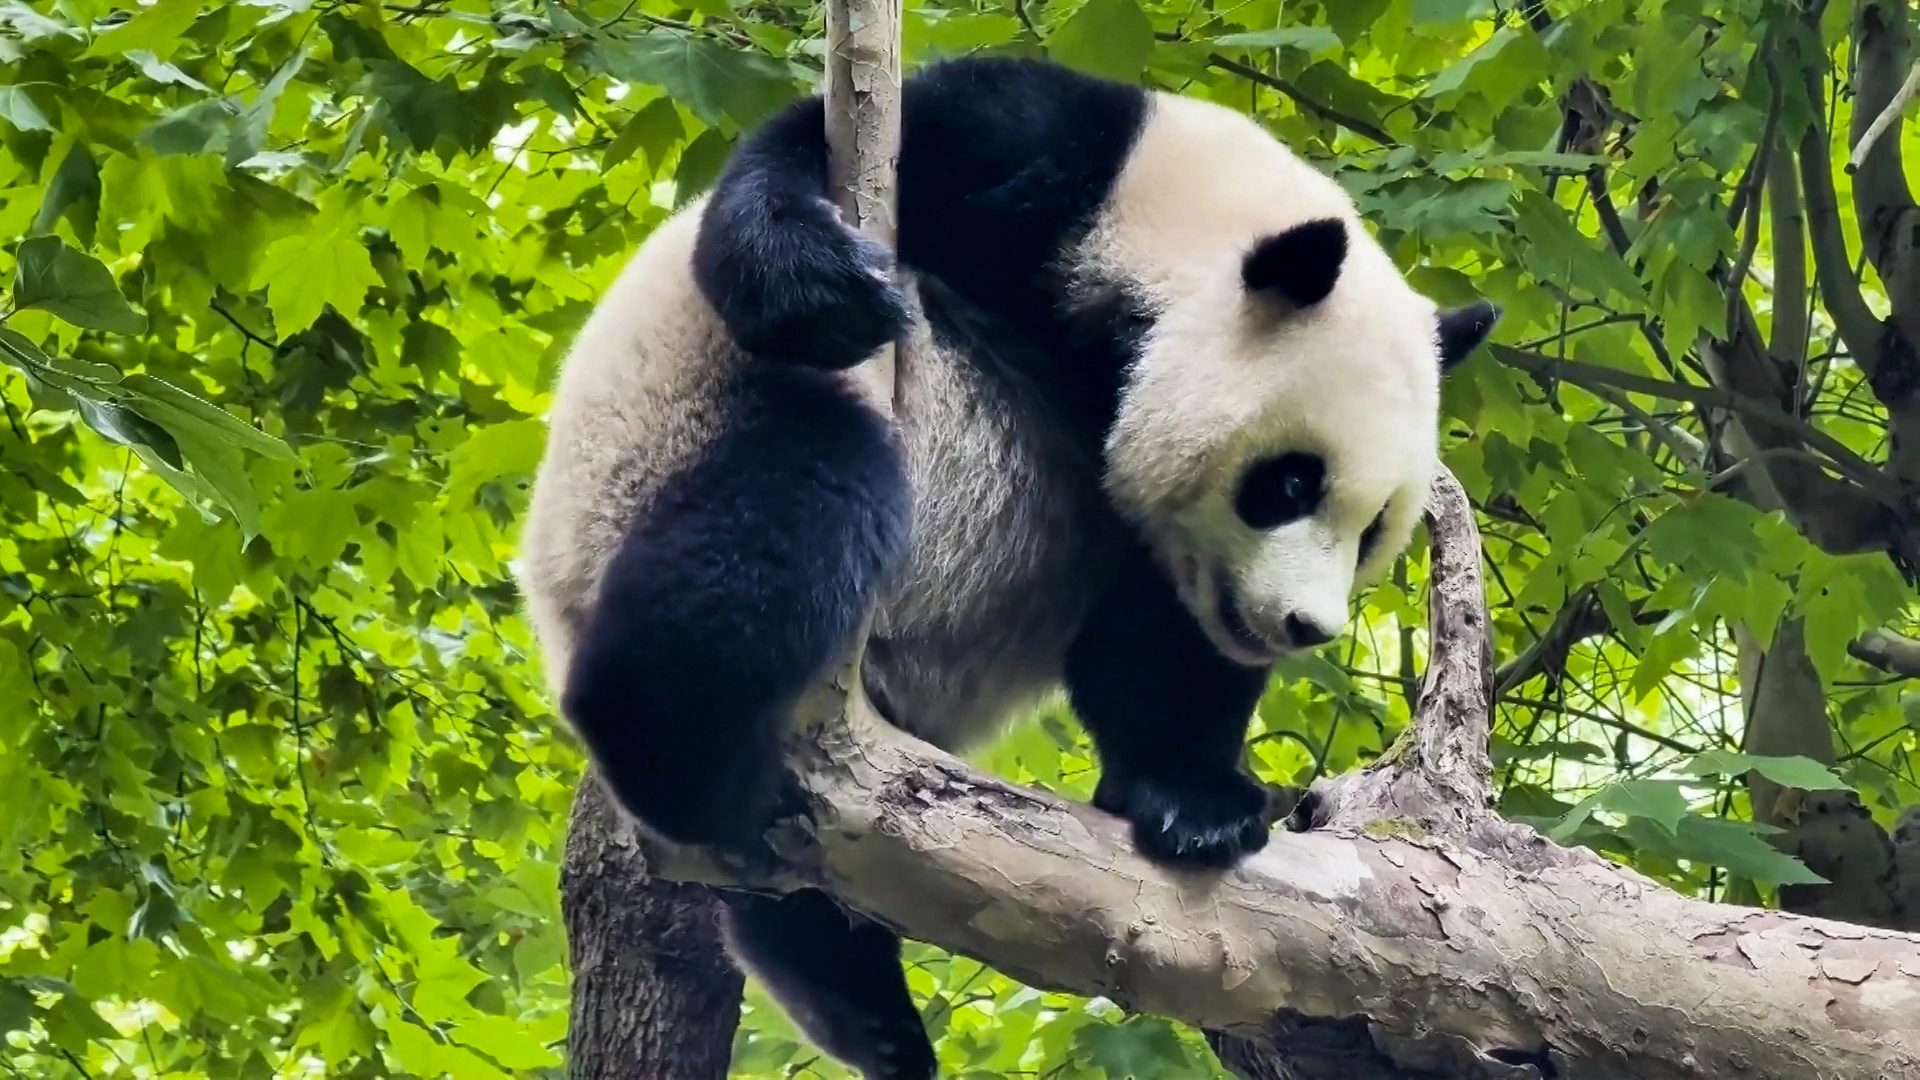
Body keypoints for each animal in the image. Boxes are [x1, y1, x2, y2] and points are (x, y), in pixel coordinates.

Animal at [518, 55, 1498, 1080]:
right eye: (1292, 482)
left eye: (1375, 527)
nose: (1304, 627)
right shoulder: (1034, 165)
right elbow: (806, 154)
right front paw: (819, 285)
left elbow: (1163, 644)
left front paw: (1194, 803)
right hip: (664, 452)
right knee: (792, 504)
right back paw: (677, 755)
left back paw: (863, 1006)